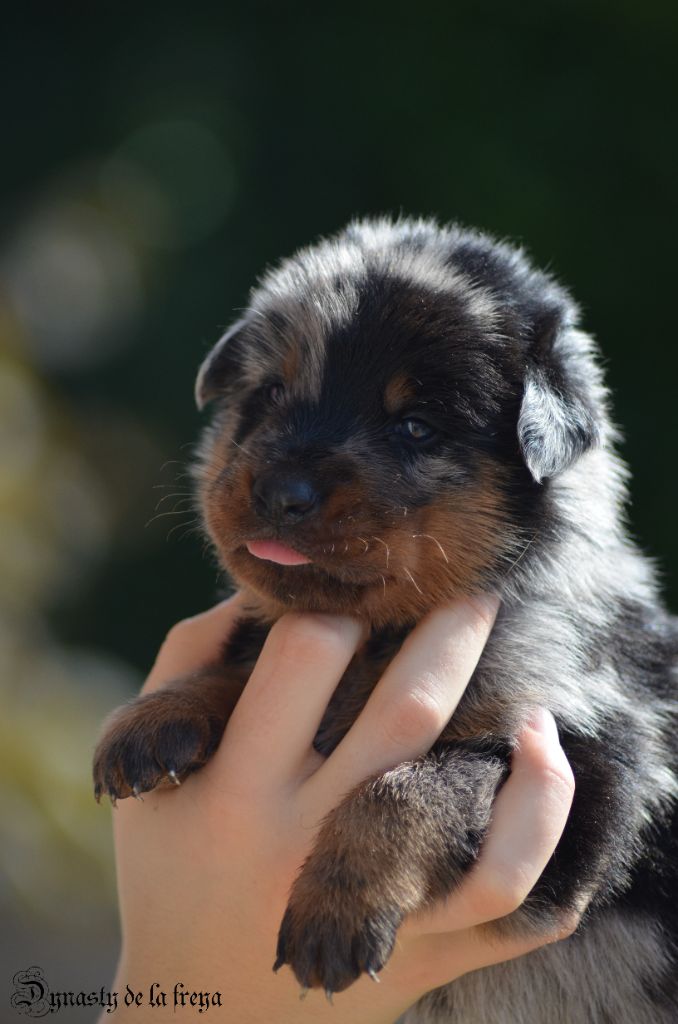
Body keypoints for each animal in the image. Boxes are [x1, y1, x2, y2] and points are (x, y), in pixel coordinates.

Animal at [93, 217, 678, 1022]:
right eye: (269, 392)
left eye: (416, 427)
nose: (282, 492)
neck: (384, 636)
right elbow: (244, 657)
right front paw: (154, 718)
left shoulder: (587, 775)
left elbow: (409, 785)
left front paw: (335, 917)